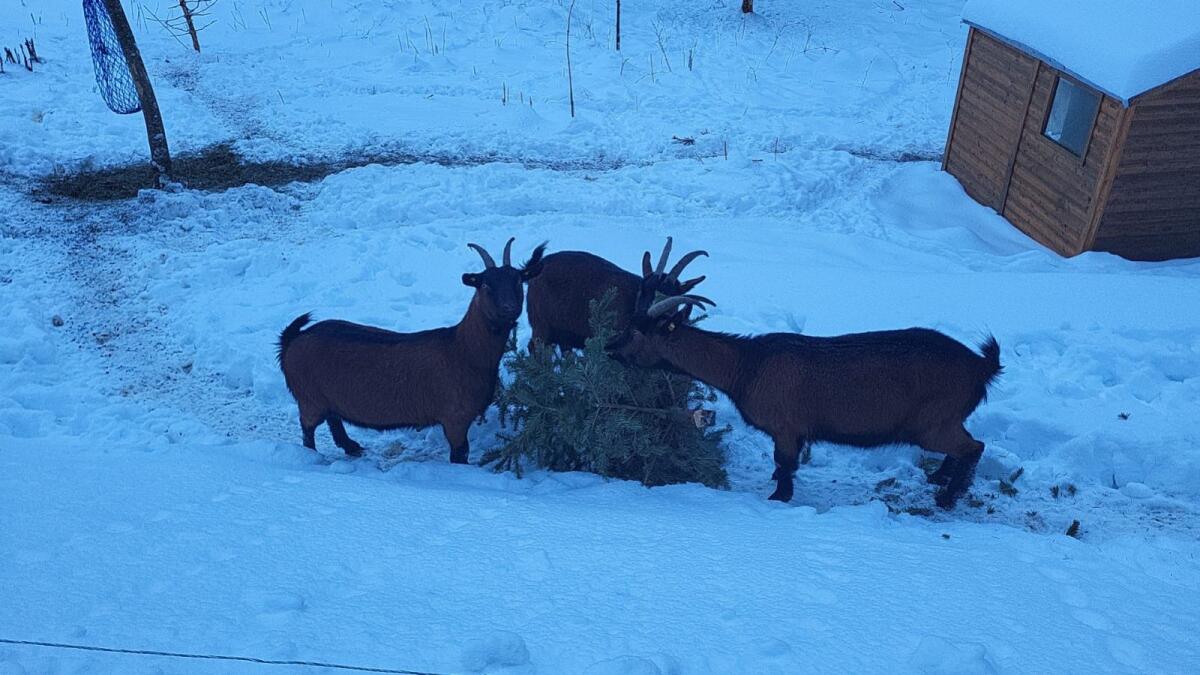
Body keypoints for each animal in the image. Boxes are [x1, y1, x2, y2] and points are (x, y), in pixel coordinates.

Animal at [277, 238, 545, 461]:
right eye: (486, 284)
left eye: (518, 281)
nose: (509, 308)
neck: (463, 350)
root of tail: (293, 339)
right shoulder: (455, 417)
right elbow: (460, 453)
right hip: (309, 398)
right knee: (309, 429)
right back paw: (312, 457)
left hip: (324, 397)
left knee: (334, 418)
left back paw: (352, 447)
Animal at [605, 296, 1002, 509]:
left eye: (637, 330)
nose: (608, 348)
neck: (746, 366)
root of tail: (980, 366)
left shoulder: (786, 427)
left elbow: (785, 464)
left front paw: (779, 496)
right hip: (946, 419)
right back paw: (938, 478)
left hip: (931, 423)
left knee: (974, 447)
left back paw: (947, 498)